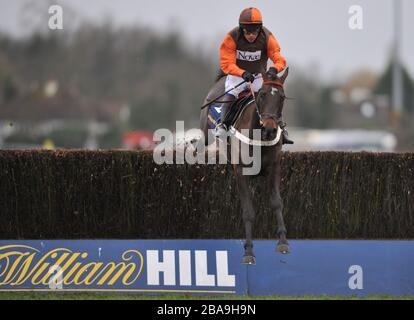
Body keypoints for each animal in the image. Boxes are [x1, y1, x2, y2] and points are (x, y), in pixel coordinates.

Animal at [199, 67, 290, 262]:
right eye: (262, 95)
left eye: (282, 97)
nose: (270, 129)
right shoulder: (241, 171)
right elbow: (248, 211)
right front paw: (248, 251)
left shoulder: (273, 168)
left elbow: (277, 203)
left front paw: (283, 242)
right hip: (204, 136)